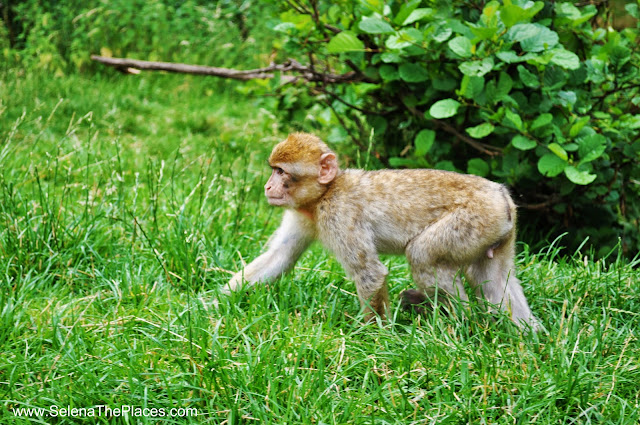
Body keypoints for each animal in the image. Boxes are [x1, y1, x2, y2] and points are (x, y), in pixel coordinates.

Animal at [225, 131, 540, 330]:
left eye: (281, 172)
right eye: (273, 169)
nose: (268, 186)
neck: (325, 193)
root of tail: (501, 196)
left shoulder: (338, 215)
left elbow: (370, 273)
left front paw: (372, 338)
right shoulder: (304, 215)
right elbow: (280, 257)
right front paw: (217, 305)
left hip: (475, 219)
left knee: (422, 255)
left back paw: (459, 323)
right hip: (496, 229)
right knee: (493, 280)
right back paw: (528, 336)